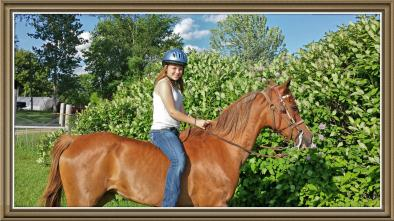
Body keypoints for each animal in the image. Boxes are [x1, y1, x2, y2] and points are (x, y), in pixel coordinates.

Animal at [41, 80, 312, 207]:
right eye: (292, 107)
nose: (308, 138)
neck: (222, 149)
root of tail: (74, 140)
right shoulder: (214, 204)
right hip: (82, 200)